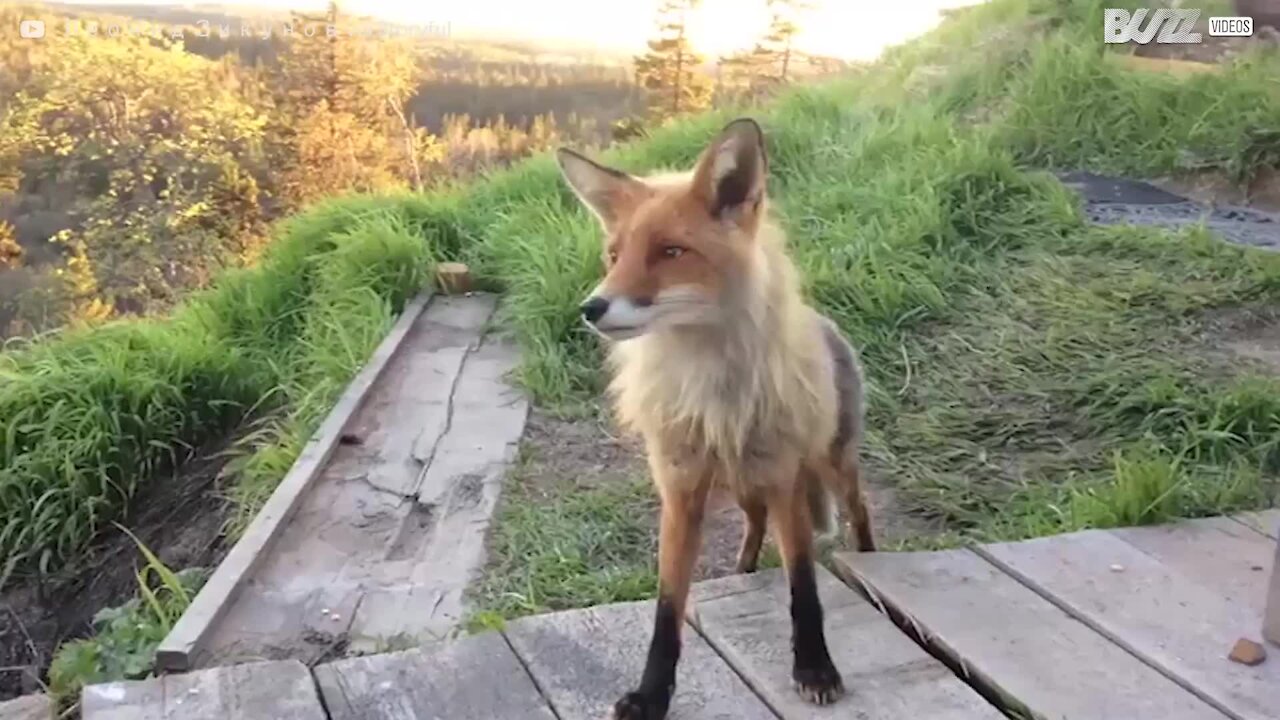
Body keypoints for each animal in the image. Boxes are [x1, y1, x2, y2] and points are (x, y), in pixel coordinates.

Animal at [555, 114, 875, 712]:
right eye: (615, 255)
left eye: (670, 252)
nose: (591, 308)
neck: (709, 391)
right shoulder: (680, 491)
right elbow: (667, 609)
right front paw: (651, 695)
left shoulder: (782, 476)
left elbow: (803, 585)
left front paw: (815, 667)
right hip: (740, 484)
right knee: (753, 527)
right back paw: (742, 570)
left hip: (828, 463)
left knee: (860, 511)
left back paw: (870, 563)